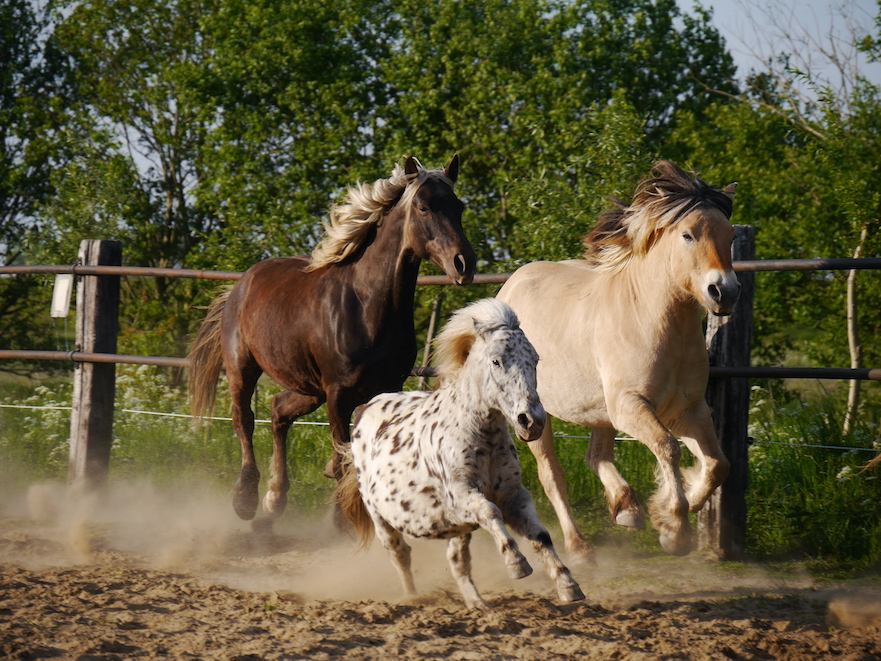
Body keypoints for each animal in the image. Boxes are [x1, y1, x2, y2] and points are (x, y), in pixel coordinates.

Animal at [187, 157, 474, 524]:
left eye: (459, 206)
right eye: (424, 207)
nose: (464, 263)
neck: (366, 307)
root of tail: (240, 284)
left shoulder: (384, 387)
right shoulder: (338, 393)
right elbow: (342, 457)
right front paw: (342, 519)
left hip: (308, 386)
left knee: (278, 411)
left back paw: (275, 498)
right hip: (244, 368)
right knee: (244, 420)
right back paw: (246, 500)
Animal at [336, 300, 584, 608]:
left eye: (535, 360)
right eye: (496, 361)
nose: (532, 421)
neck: (481, 438)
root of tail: (365, 409)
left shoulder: (514, 497)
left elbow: (541, 536)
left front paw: (568, 585)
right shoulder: (461, 496)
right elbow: (491, 512)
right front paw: (517, 564)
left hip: (458, 529)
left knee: (457, 560)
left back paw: (477, 604)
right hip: (380, 518)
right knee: (400, 554)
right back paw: (413, 597)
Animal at [498, 160, 740, 556]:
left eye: (732, 236)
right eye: (688, 235)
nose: (725, 291)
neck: (653, 321)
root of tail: (510, 286)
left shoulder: (686, 409)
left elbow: (719, 464)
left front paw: (673, 510)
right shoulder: (631, 405)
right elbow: (668, 448)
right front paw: (675, 529)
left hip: (600, 411)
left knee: (596, 456)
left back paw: (627, 509)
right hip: (536, 416)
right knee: (552, 476)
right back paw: (579, 546)